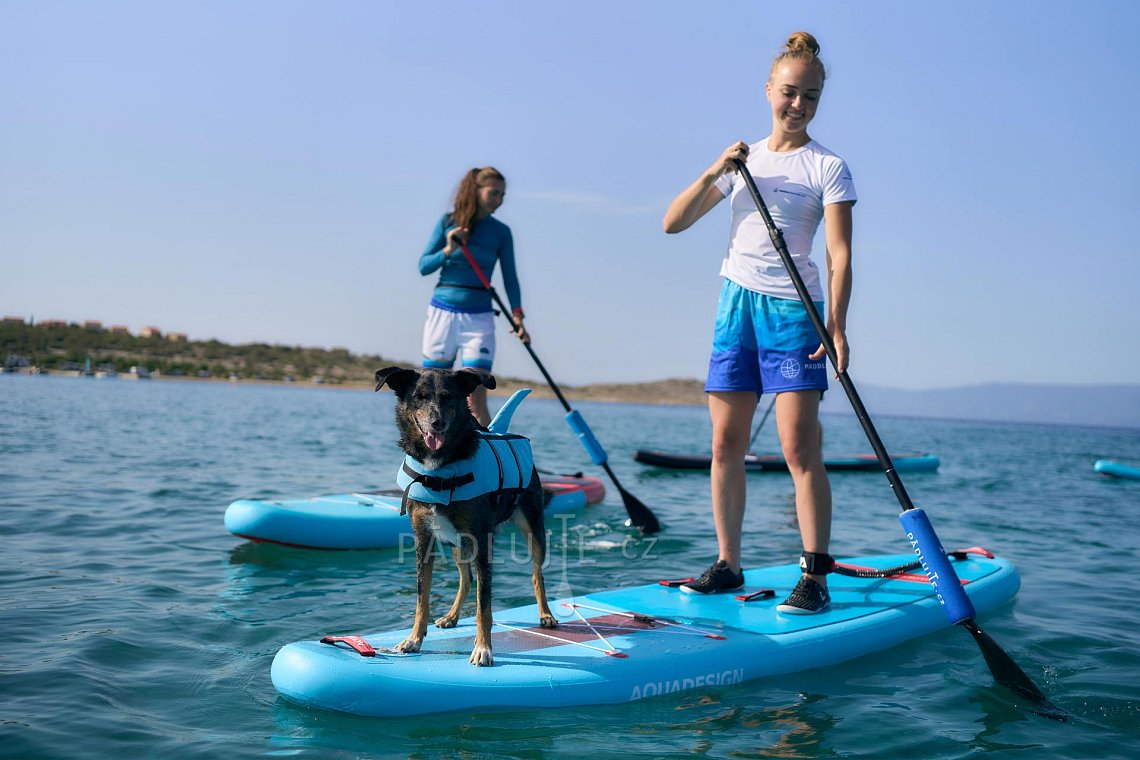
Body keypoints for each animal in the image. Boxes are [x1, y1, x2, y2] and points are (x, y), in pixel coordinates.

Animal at [373, 364, 556, 660]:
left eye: (449, 397)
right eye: (420, 397)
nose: (437, 423)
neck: (439, 467)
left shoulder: (482, 541)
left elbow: (484, 605)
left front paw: (483, 648)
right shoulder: (424, 540)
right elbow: (422, 598)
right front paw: (413, 639)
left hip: (533, 528)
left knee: (536, 573)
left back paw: (545, 614)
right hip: (460, 544)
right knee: (466, 579)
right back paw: (452, 616)